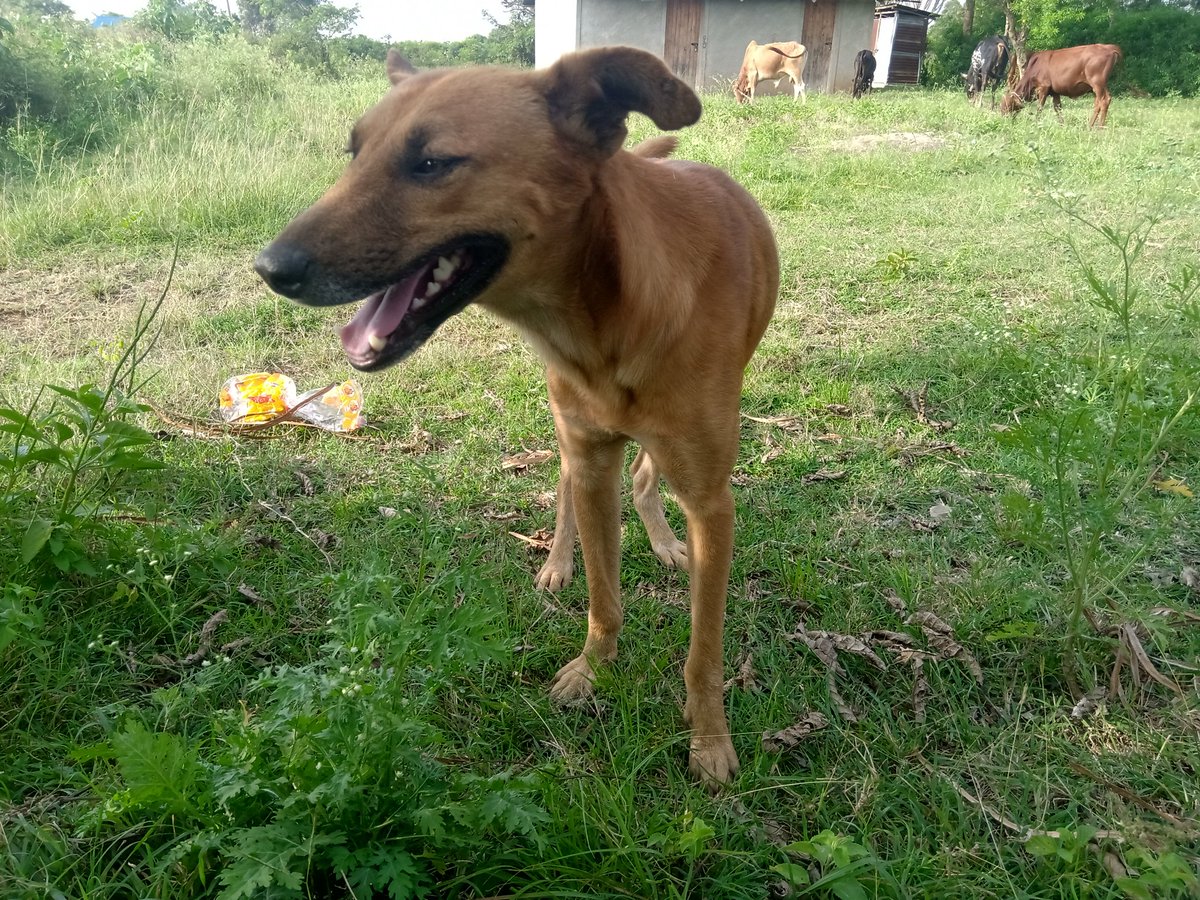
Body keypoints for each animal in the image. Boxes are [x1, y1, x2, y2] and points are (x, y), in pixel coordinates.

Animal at [254, 45, 782, 787]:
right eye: (353, 153)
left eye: (431, 163)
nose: (269, 268)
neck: (609, 315)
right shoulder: (590, 458)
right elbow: (604, 598)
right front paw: (592, 670)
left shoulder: (710, 497)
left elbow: (703, 647)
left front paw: (707, 736)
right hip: (572, 437)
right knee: (567, 487)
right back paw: (560, 561)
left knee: (648, 475)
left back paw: (660, 535)